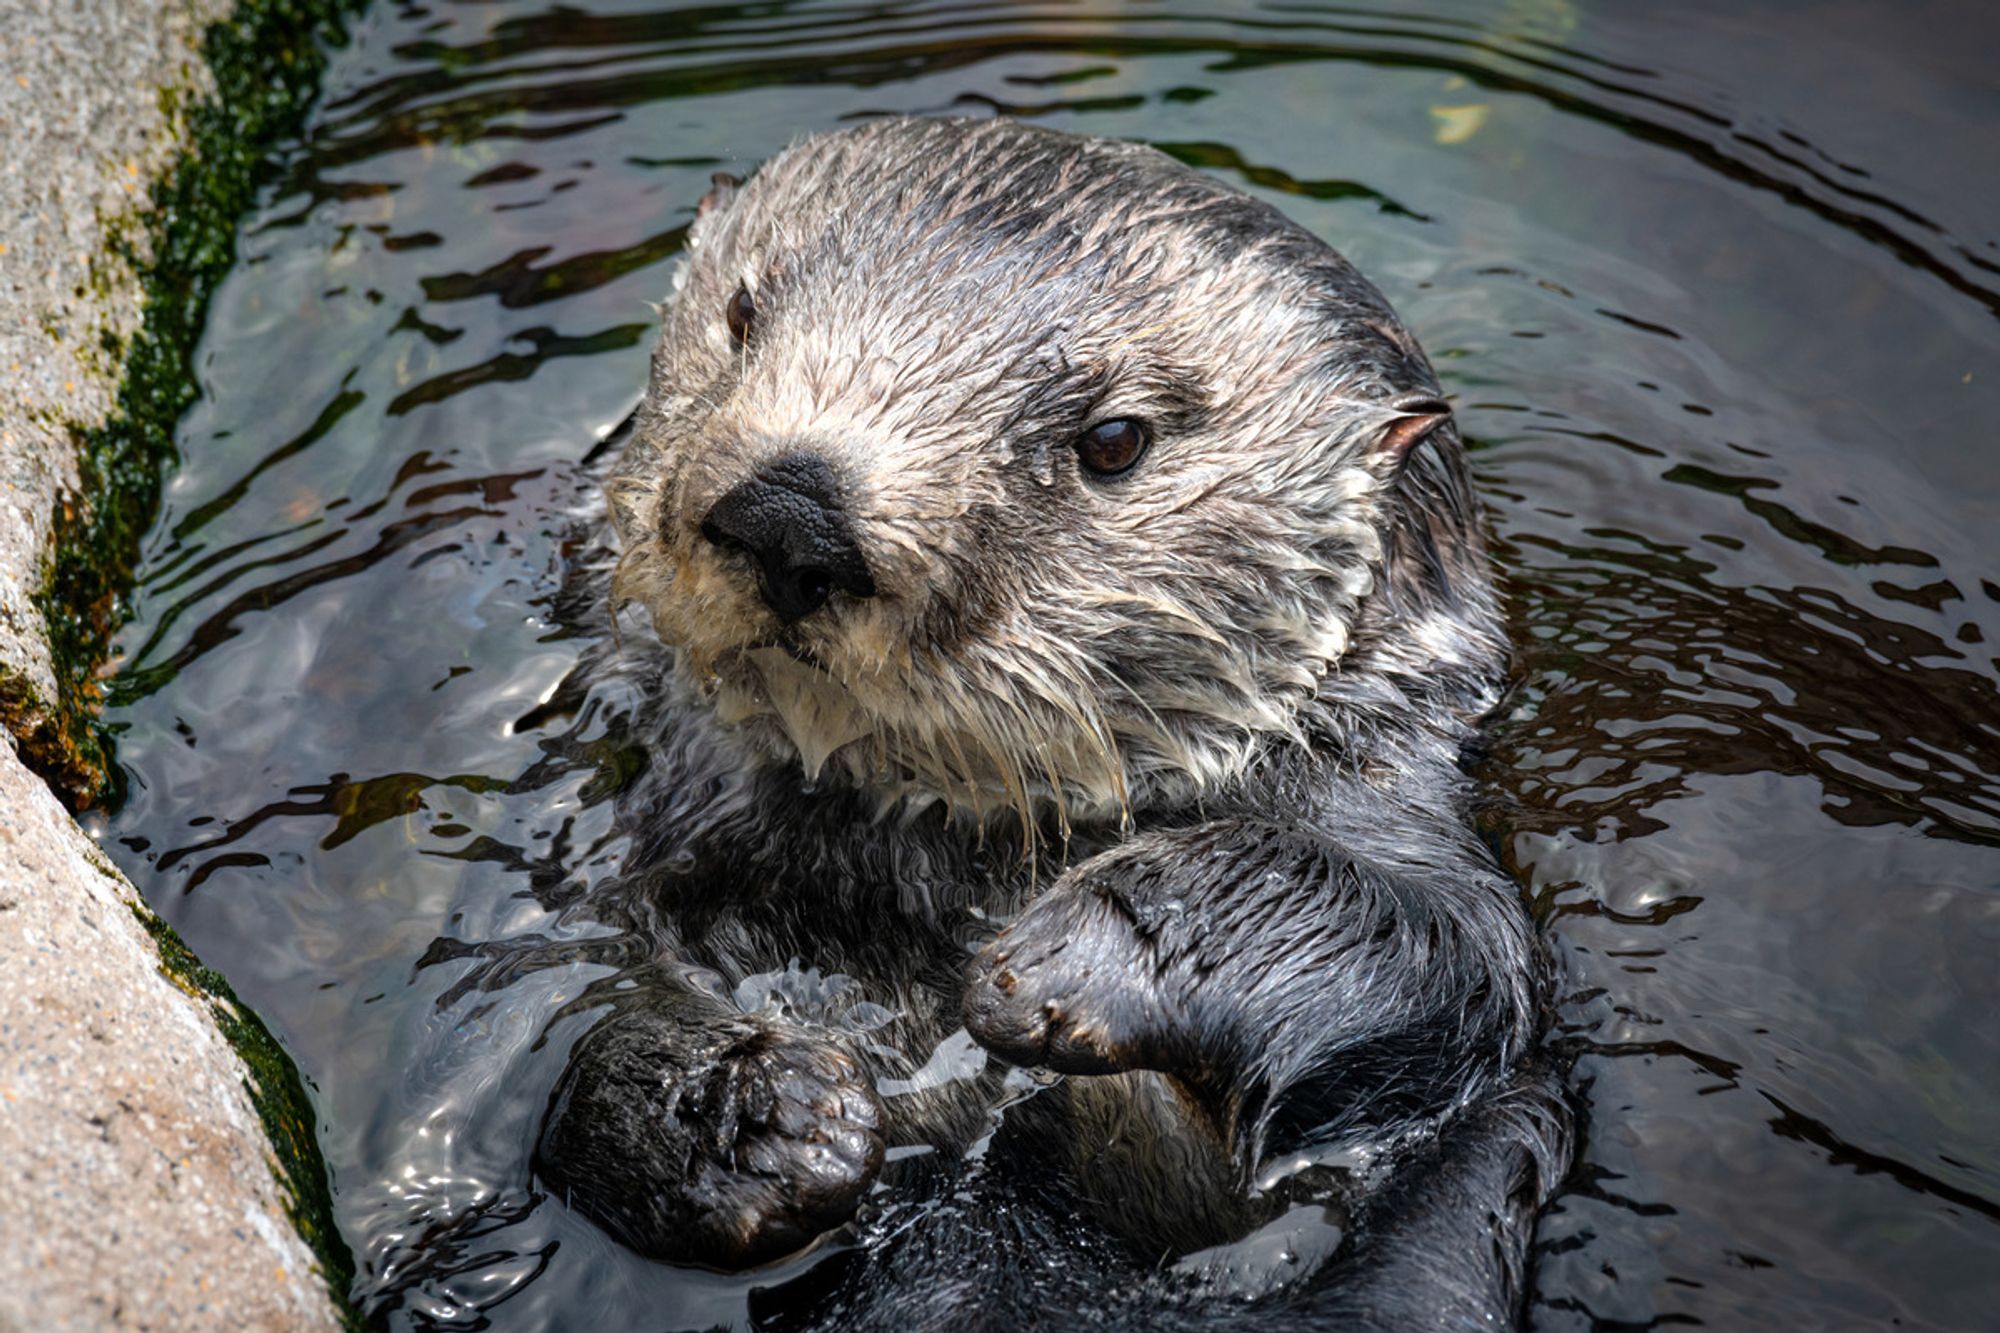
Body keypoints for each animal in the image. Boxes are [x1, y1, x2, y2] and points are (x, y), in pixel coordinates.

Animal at [540, 119, 1568, 1320]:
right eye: (743, 315)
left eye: (1114, 438)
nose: (792, 510)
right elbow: (565, 1017)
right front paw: (743, 1112)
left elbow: (1452, 956)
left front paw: (1082, 952)